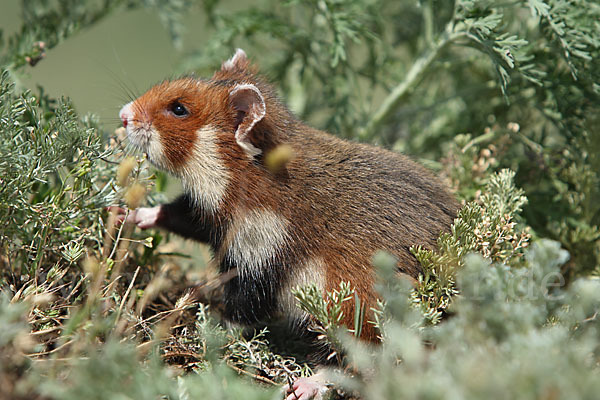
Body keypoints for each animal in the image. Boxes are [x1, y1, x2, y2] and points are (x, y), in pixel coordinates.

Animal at [119, 48, 458, 396]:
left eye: (179, 109)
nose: (123, 115)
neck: (250, 171)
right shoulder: (213, 218)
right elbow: (178, 215)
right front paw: (129, 214)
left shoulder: (256, 255)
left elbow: (242, 312)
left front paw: (213, 332)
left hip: (350, 304)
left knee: (360, 359)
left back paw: (305, 386)